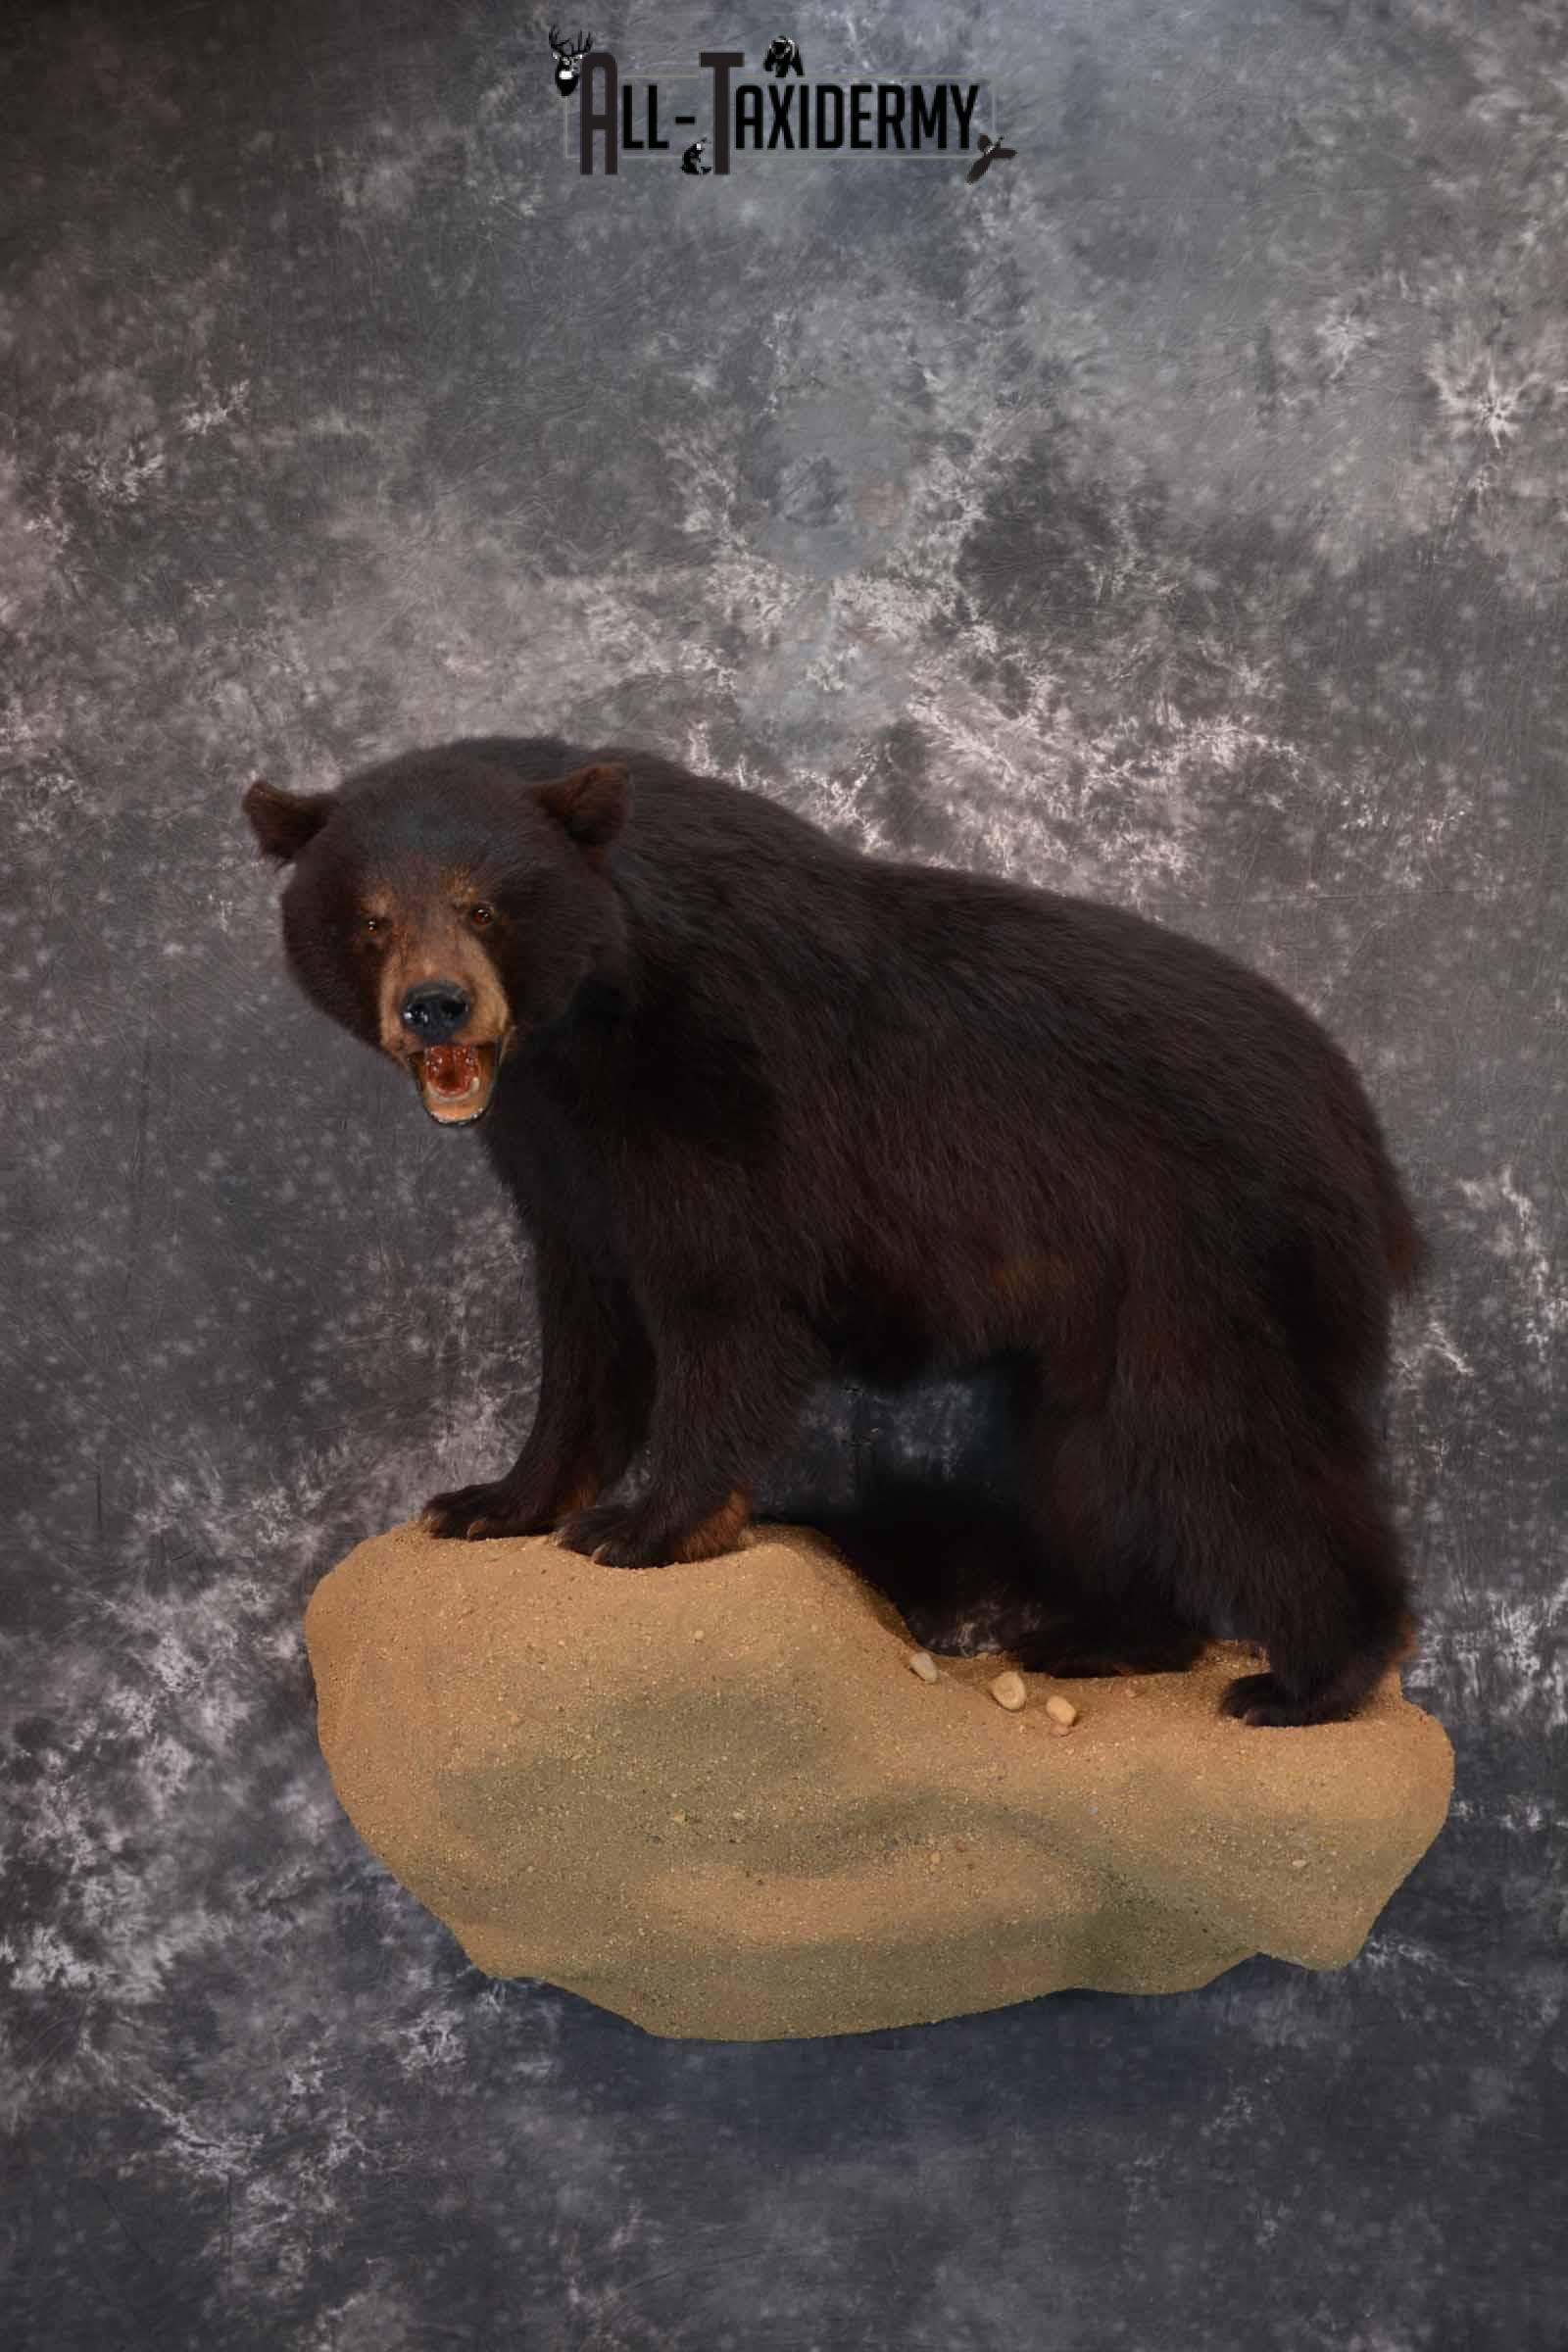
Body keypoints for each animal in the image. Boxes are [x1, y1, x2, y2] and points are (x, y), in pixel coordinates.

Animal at [243, 735, 1428, 1726]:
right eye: (370, 917)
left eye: (486, 907)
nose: (435, 1005)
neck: (591, 1030)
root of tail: (1357, 1123)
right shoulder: (559, 1158)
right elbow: (585, 1332)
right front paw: (491, 1501)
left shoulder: (721, 1090)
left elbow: (725, 1309)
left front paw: (644, 1526)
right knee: (1094, 1465)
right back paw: (1105, 1639)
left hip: (1219, 1254)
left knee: (1235, 1445)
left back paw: (1309, 1681)